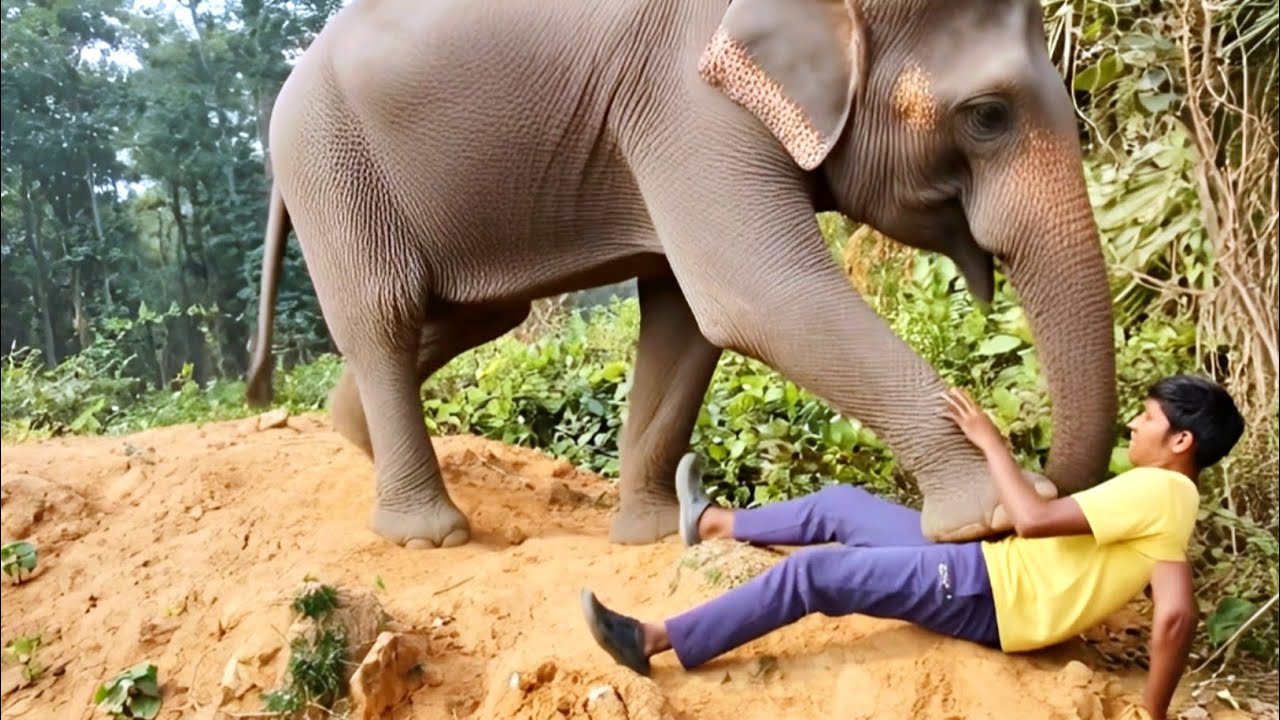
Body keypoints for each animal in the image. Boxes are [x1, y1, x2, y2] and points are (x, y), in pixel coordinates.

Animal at [244, 0, 1118, 550]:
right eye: (988, 115)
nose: (1046, 481)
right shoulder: (684, 95)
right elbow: (755, 293)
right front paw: (990, 519)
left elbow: (687, 321)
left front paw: (655, 536)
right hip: (329, 162)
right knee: (385, 313)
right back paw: (429, 535)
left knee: (471, 312)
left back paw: (351, 434)